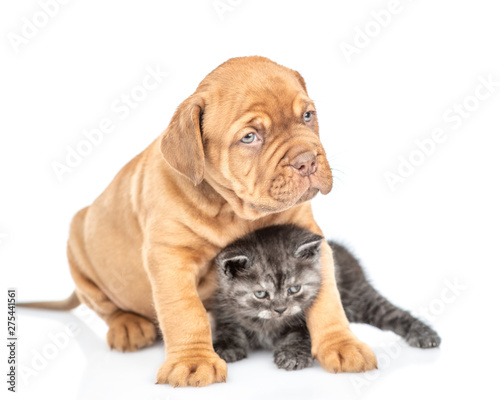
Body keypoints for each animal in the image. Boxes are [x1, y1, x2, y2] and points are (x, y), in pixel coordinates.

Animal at [22, 55, 376, 384]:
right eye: (250, 137)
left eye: (307, 116)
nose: (307, 161)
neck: (232, 210)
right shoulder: (169, 259)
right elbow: (185, 311)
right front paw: (193, 361)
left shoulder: (309, 236)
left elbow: (327, 297)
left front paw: (341, 344)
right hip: (78, 251)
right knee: (104, 305)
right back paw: (128, 326)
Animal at [213, 223, 440, 370]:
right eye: (260, 294)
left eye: (294, 289)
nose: (280, 309)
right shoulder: (220, 305)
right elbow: (227, 326)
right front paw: (226, 347)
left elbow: (302, 334)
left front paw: (293, 354)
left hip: (358, 297)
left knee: (393, 314)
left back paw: (424, 334)